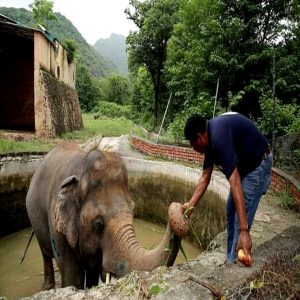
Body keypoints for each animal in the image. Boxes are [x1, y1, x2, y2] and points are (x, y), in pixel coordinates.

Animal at [25, 142, 179, 290]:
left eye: (133, 210)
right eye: (98, 224)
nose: (178, 206)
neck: (80, 169)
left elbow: (92, 275)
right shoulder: (56, 222)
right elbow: (71, 276)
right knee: (45, 254)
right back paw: (48, 287)